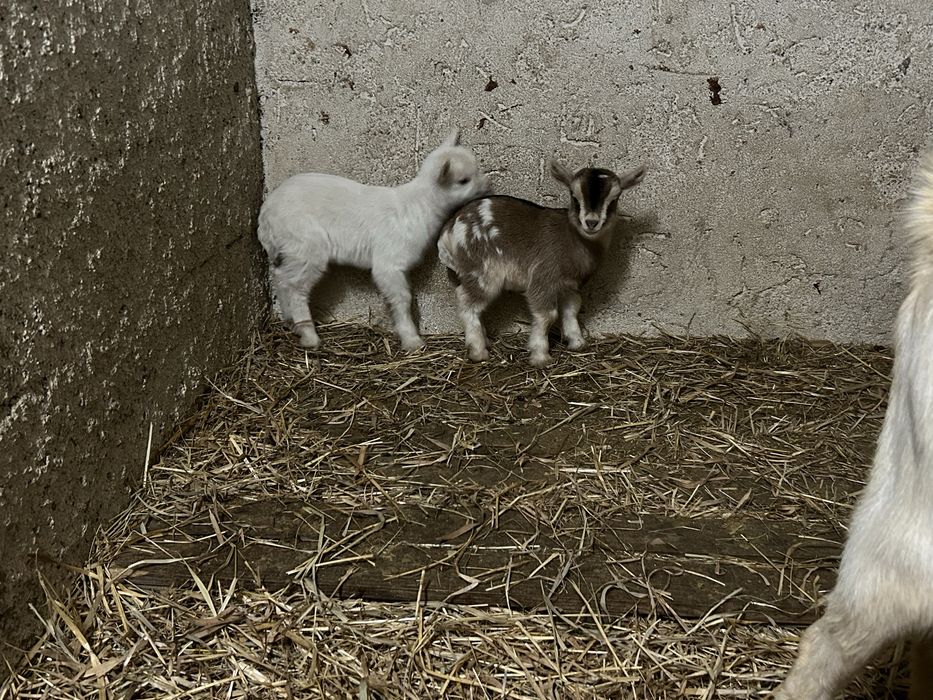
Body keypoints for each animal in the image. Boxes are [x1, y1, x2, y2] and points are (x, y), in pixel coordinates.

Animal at [257, 129, 489, 351]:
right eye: (463, 181)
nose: (488, 186)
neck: (420, 205)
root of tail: (265, 213)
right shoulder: (389, 263)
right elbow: (402, 298)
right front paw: (411, 339)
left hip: (292, 248)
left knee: (282, 278)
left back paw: (291, 320)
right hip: (306, 244)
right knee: (296, 288)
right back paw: (309, 336)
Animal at [437, 159, 644, 367]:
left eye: (614, 199)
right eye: (574, 198)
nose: (591, 222)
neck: (574, 239)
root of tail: (448, 231)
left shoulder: (570, 284)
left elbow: (572, 309)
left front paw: (577, 342)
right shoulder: (543, 277)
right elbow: (547, 315)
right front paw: (541, 356)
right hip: (481, 270)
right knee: (468, 303)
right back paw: (478, 351)